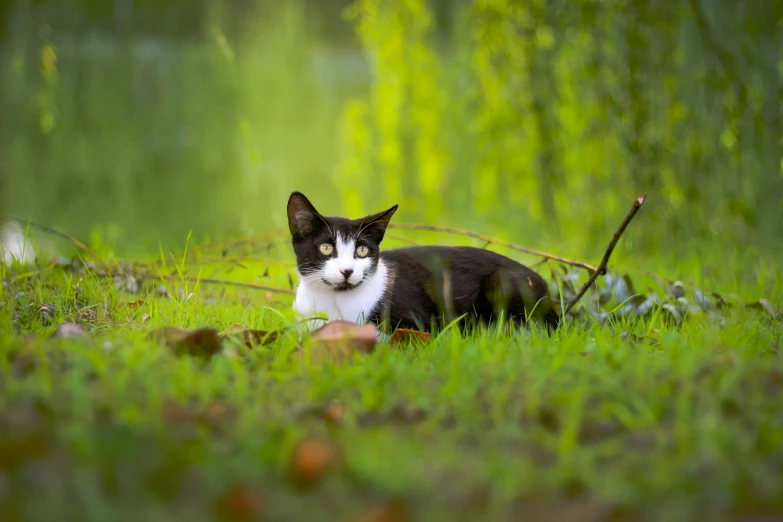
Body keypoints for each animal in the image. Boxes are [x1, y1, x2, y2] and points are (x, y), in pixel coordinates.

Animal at [286, 191, 556, 334]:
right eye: (326, 247)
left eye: (362, 250)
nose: (347, 271)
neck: (336, 301)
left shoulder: (419, 323)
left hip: (502, 282)